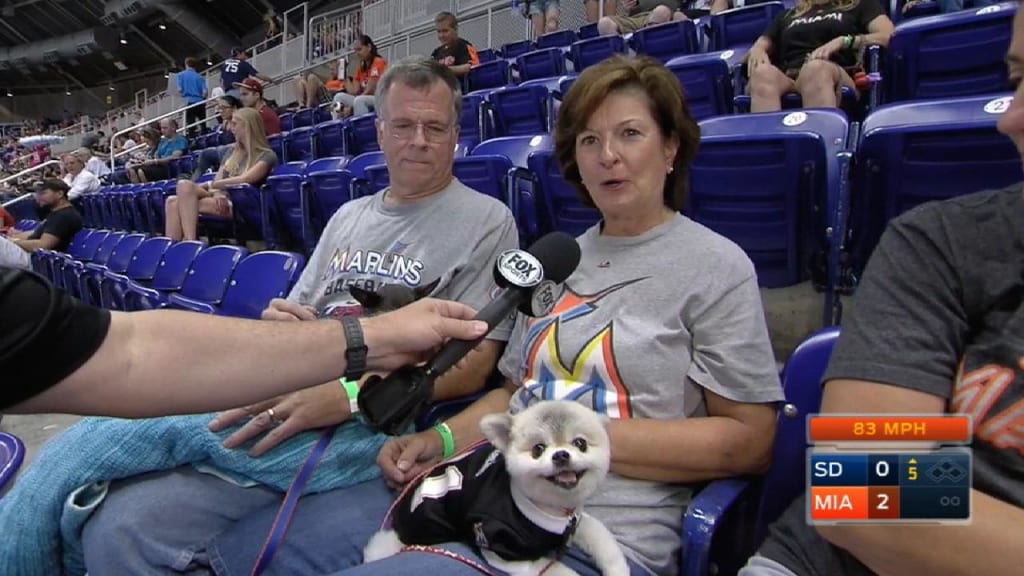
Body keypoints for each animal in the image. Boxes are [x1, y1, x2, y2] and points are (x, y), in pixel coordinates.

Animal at [364, 399, 626, 573]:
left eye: (580, 443)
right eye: (538, 449)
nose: (561, 455)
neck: (548, 509)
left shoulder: (573, 524)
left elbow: (602, 539)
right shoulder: (502, 548)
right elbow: (554, 569)